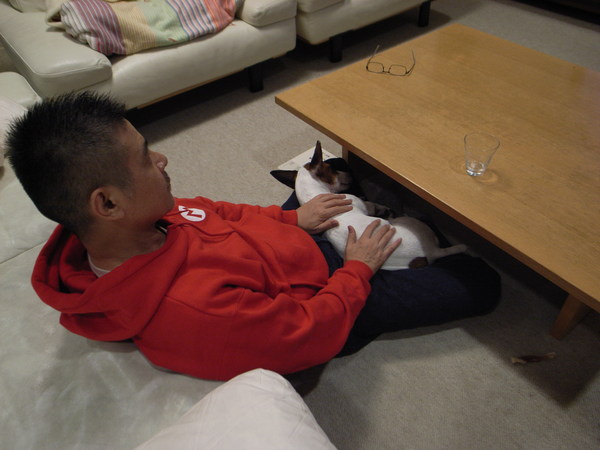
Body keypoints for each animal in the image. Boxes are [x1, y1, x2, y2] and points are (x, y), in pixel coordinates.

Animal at [271, 141, 466, 270]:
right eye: (333, 168)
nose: (351, 175)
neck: (314, 195)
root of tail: (431, 251)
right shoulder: (362, 204)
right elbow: (371, 204)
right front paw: (382, 208)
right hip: (413, 223)